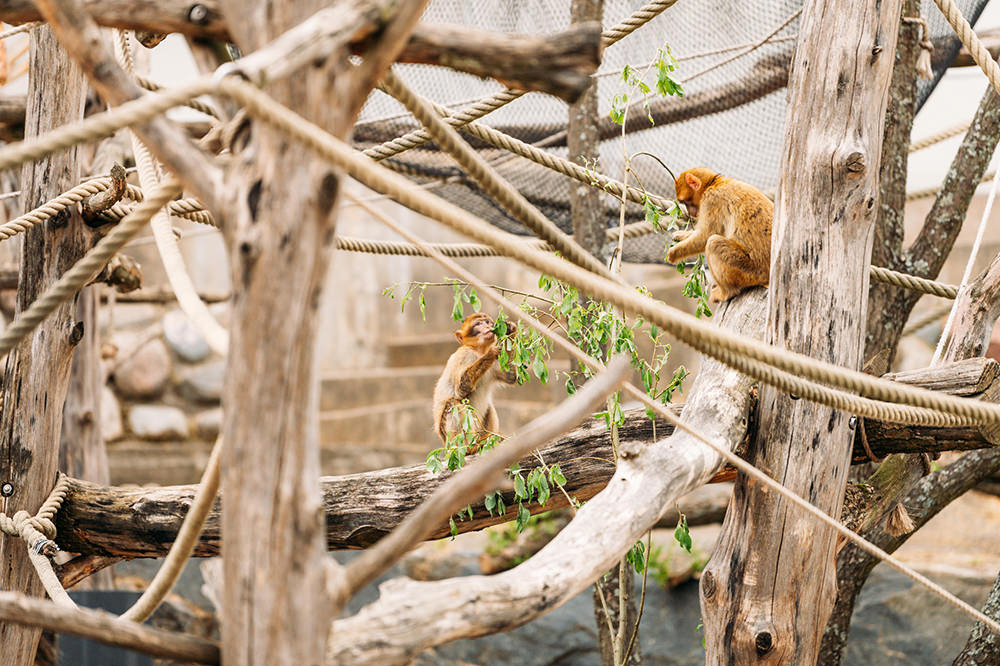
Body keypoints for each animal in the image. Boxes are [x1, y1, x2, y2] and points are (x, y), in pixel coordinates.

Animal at [434, 312, 520, 452]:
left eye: (487, 322)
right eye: (478, 324)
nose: (487, 326)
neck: (478, 351)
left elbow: (511, 377)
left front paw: (510, 329)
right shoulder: (464, 355)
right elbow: (461, 389)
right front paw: (491, 353)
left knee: (489, 406)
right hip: (451, 439)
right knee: (452, 403)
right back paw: (470, 447)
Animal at [664, 167, 772, 302]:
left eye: (686, 202)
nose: (690, 213)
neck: (714, 184)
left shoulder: (711, 200)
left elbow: (706, 235)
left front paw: (674, 253)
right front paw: (681, 235)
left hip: (752, 271)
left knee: (713, 242)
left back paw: (726, 292)